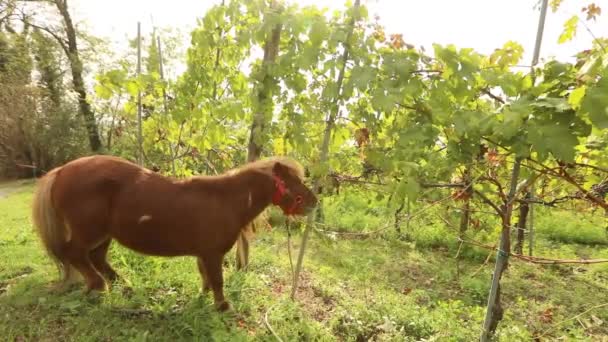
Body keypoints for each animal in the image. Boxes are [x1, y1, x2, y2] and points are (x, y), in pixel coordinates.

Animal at [32, 155, 318, 310]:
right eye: (294, 181)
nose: (314, 202)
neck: (225, 200)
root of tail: (60, 171)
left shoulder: (204, 254)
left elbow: (205, 277)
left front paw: (205, 298)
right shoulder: (213, 253)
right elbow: (217, 279)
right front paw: (222, 306)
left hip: (104, 235)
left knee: (95, 257)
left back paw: (122, 285)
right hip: (89, 232)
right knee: (74, 254)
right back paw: (98, 285)